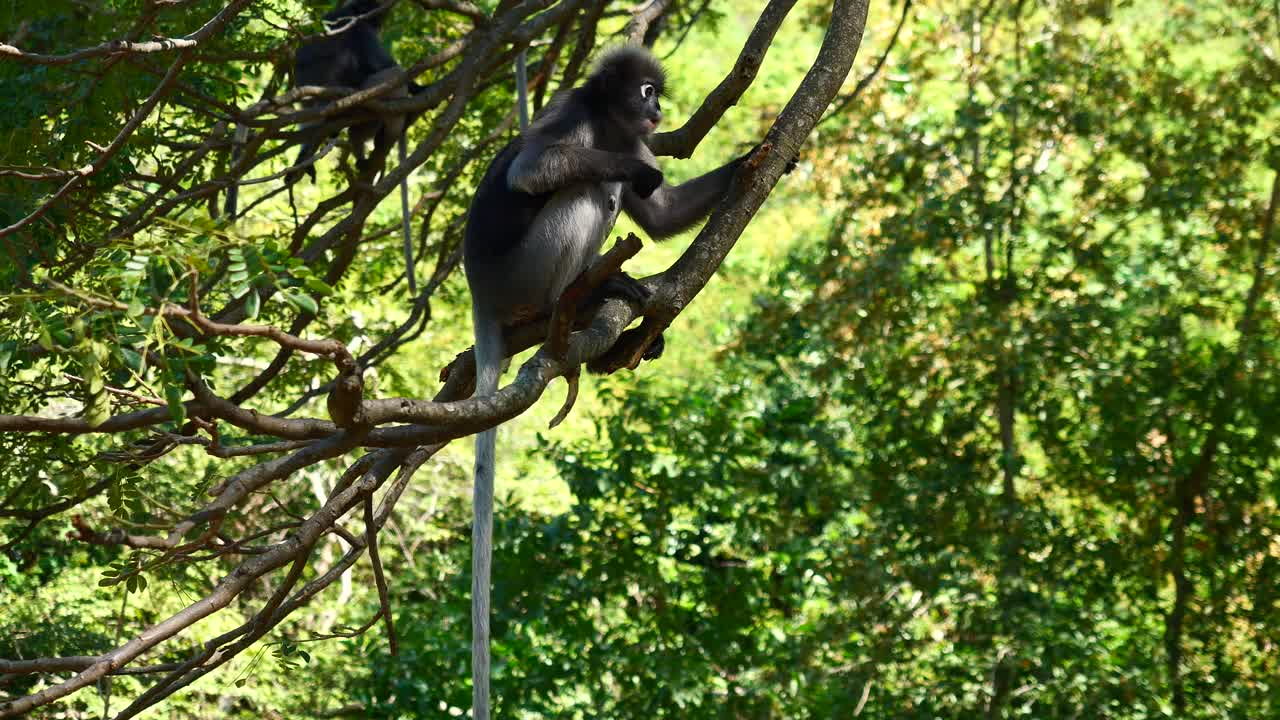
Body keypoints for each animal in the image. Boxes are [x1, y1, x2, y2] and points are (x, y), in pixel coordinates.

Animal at [465, 46, 773, 717]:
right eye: (647, 90)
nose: (660, 108)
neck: (609, 125)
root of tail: (478, 290)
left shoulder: (636, 139)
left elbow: (659, 216)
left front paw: (756, 158)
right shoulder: (576, 118)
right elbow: (532, 170)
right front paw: (633, 174)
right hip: (521, 275)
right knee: (584, 186)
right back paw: (582, 299)